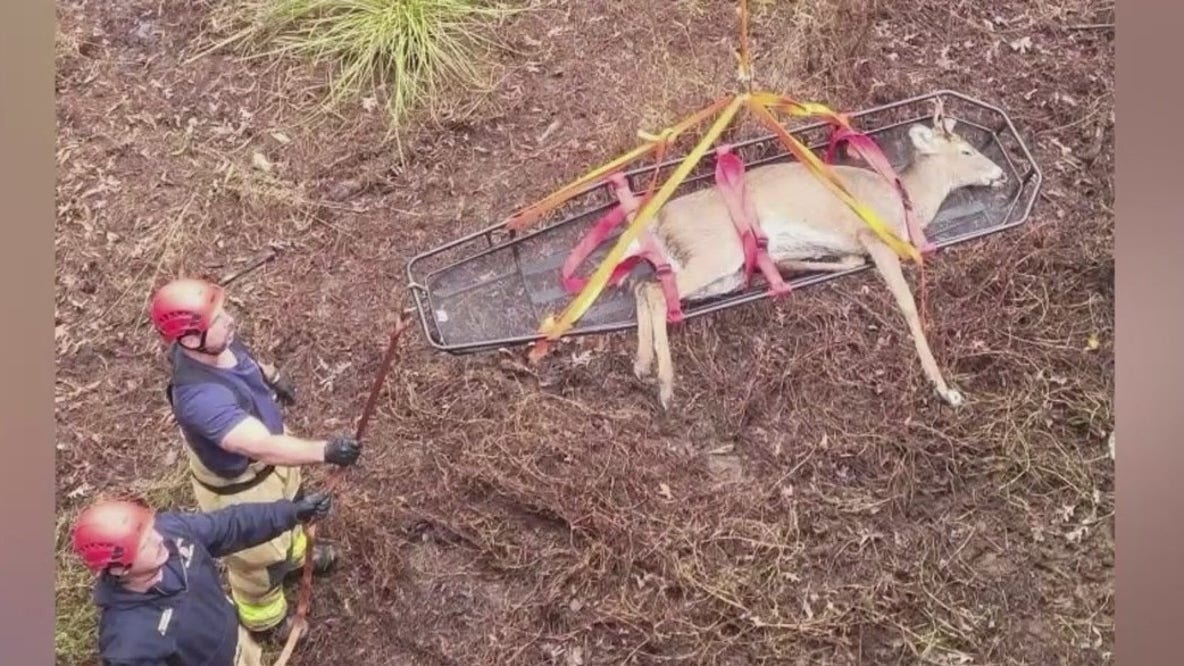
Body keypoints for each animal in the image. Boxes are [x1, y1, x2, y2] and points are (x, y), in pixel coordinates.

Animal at [613, 106, 1008, 410]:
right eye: (967, 151)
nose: (1001, 173)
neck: (906, 200)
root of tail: (658, 219)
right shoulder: (874, 237)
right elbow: (908, 304)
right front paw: (944, 388)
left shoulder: (853, 246)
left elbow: (846, 262)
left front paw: (789, 263)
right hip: (717, 253)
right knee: (657, 294)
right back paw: (665, 385)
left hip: (719, 272)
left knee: (646, 285)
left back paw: (642, 364)